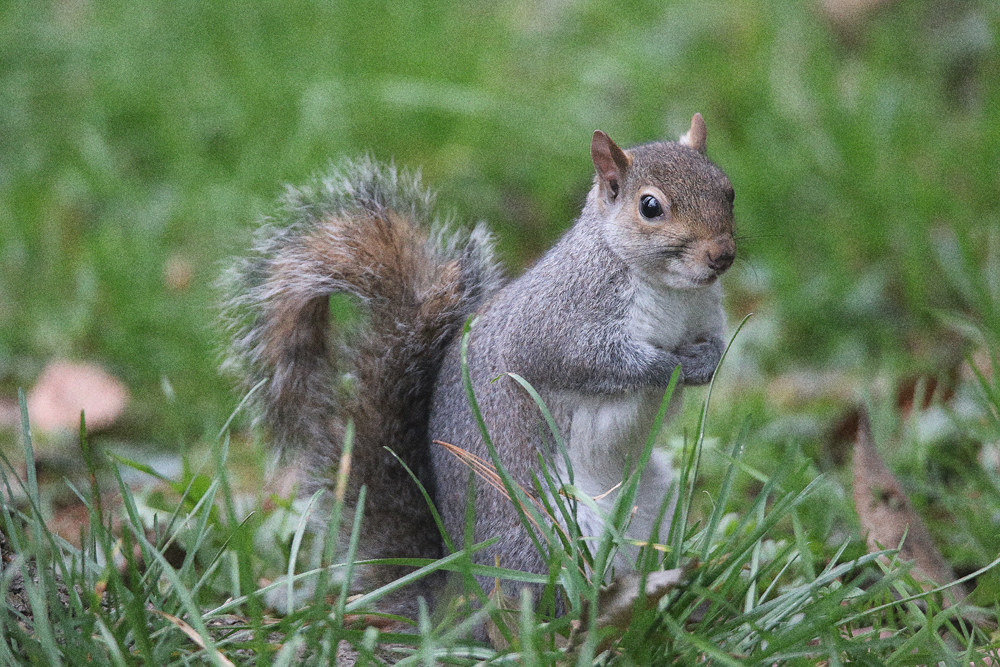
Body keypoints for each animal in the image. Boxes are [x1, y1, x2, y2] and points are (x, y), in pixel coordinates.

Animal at [221, 113, 735, 619]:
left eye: (727, 190)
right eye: (650, 207)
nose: (722, 255)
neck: (669, 290)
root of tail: (458, 596)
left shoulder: (707, 315)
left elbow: (716, 343)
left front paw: (706, 363)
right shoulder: (559, 324)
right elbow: (593, 361)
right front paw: (667, 367)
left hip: (654, 505)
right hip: (544, 533)